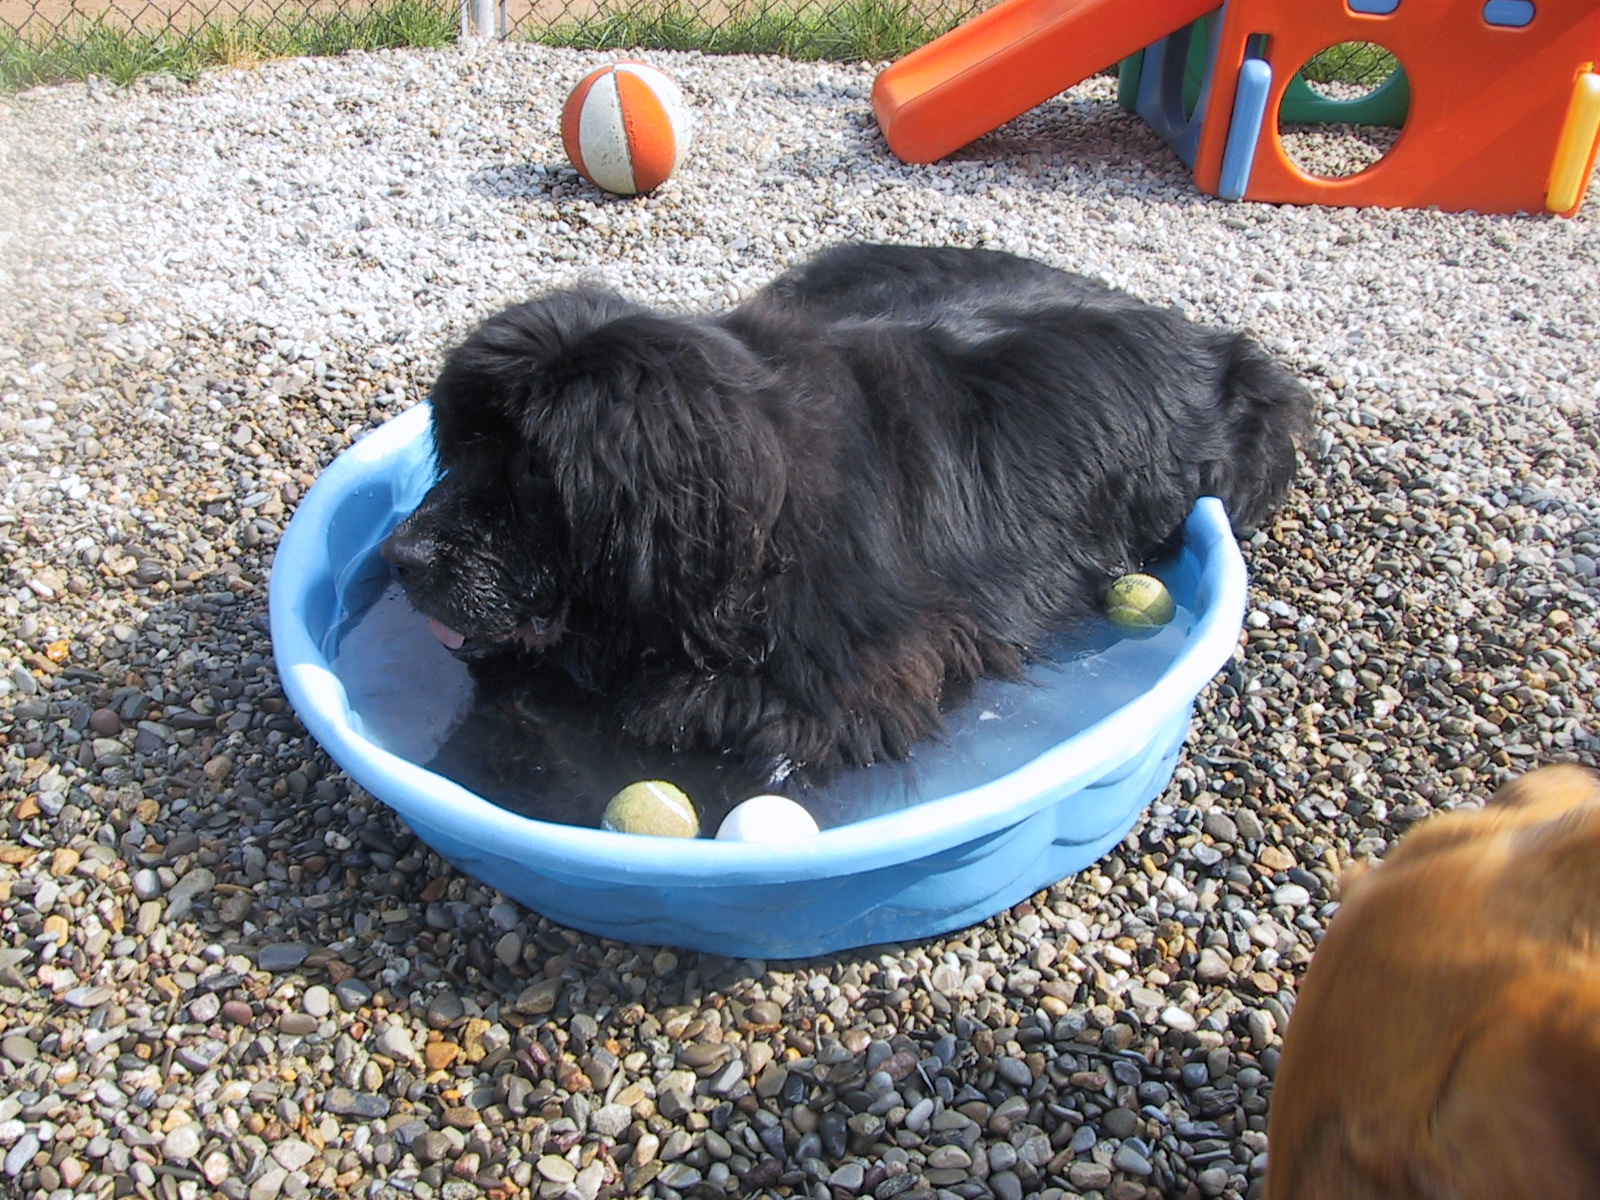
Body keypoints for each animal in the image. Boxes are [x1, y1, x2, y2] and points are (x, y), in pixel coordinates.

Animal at [387, 244, 1312, 774]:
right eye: (463, 446)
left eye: (535, 473)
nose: (402, 557)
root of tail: (1201, 335)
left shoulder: (854, 678)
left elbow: (680, 707)